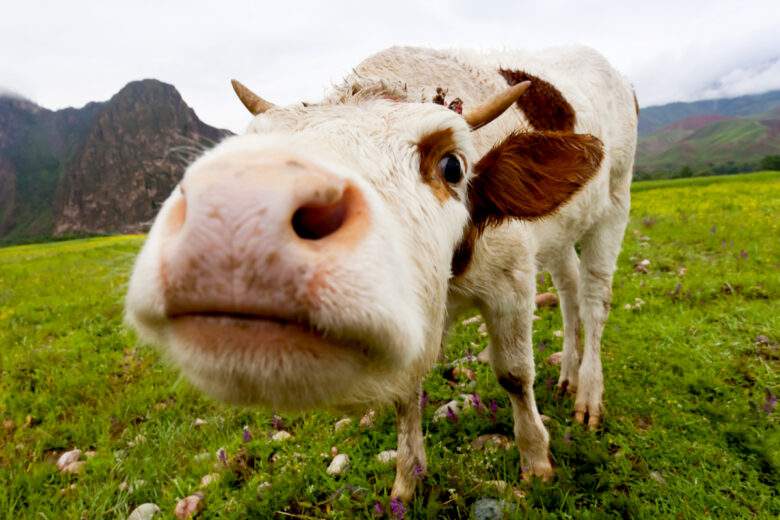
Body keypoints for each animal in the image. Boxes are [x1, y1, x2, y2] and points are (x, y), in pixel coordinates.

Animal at [125, 46, 636, 502]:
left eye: (452, 166)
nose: (241, 214)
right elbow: (406, 390)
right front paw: (407, 481)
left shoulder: (511, 281)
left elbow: (513, 374)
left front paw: (536, 461)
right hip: (562, 234)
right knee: (568, 290)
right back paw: (568, 376)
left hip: (615, 203)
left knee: (594, 300)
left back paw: (588, 395)